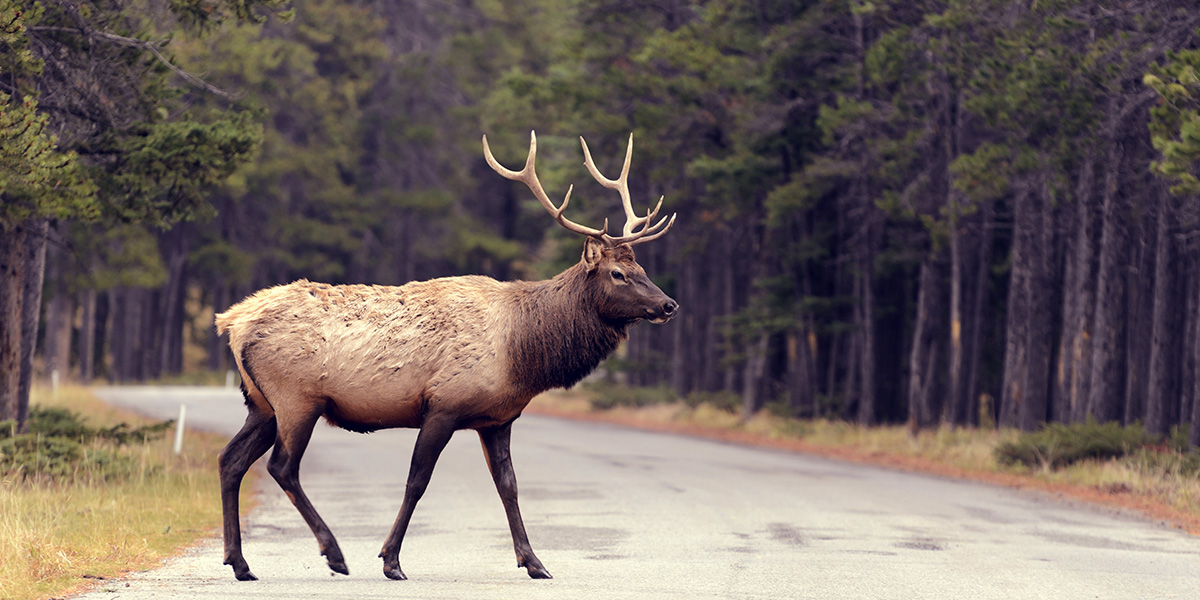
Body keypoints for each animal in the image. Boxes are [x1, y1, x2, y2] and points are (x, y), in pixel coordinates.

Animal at [216, 130, 681, 580]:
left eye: (642, 270)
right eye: (618, 274)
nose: (668, 305)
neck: (522, 354)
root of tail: (232, 321)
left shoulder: (498, 419)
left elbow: (509, 486)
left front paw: (535, 562)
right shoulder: (443, 405)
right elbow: (417, 481)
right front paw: (390, 560)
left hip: (261, 404)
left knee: (230, 460)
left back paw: (240, 562)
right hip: (297, 398)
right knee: (282, 466)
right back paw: (333, 554)